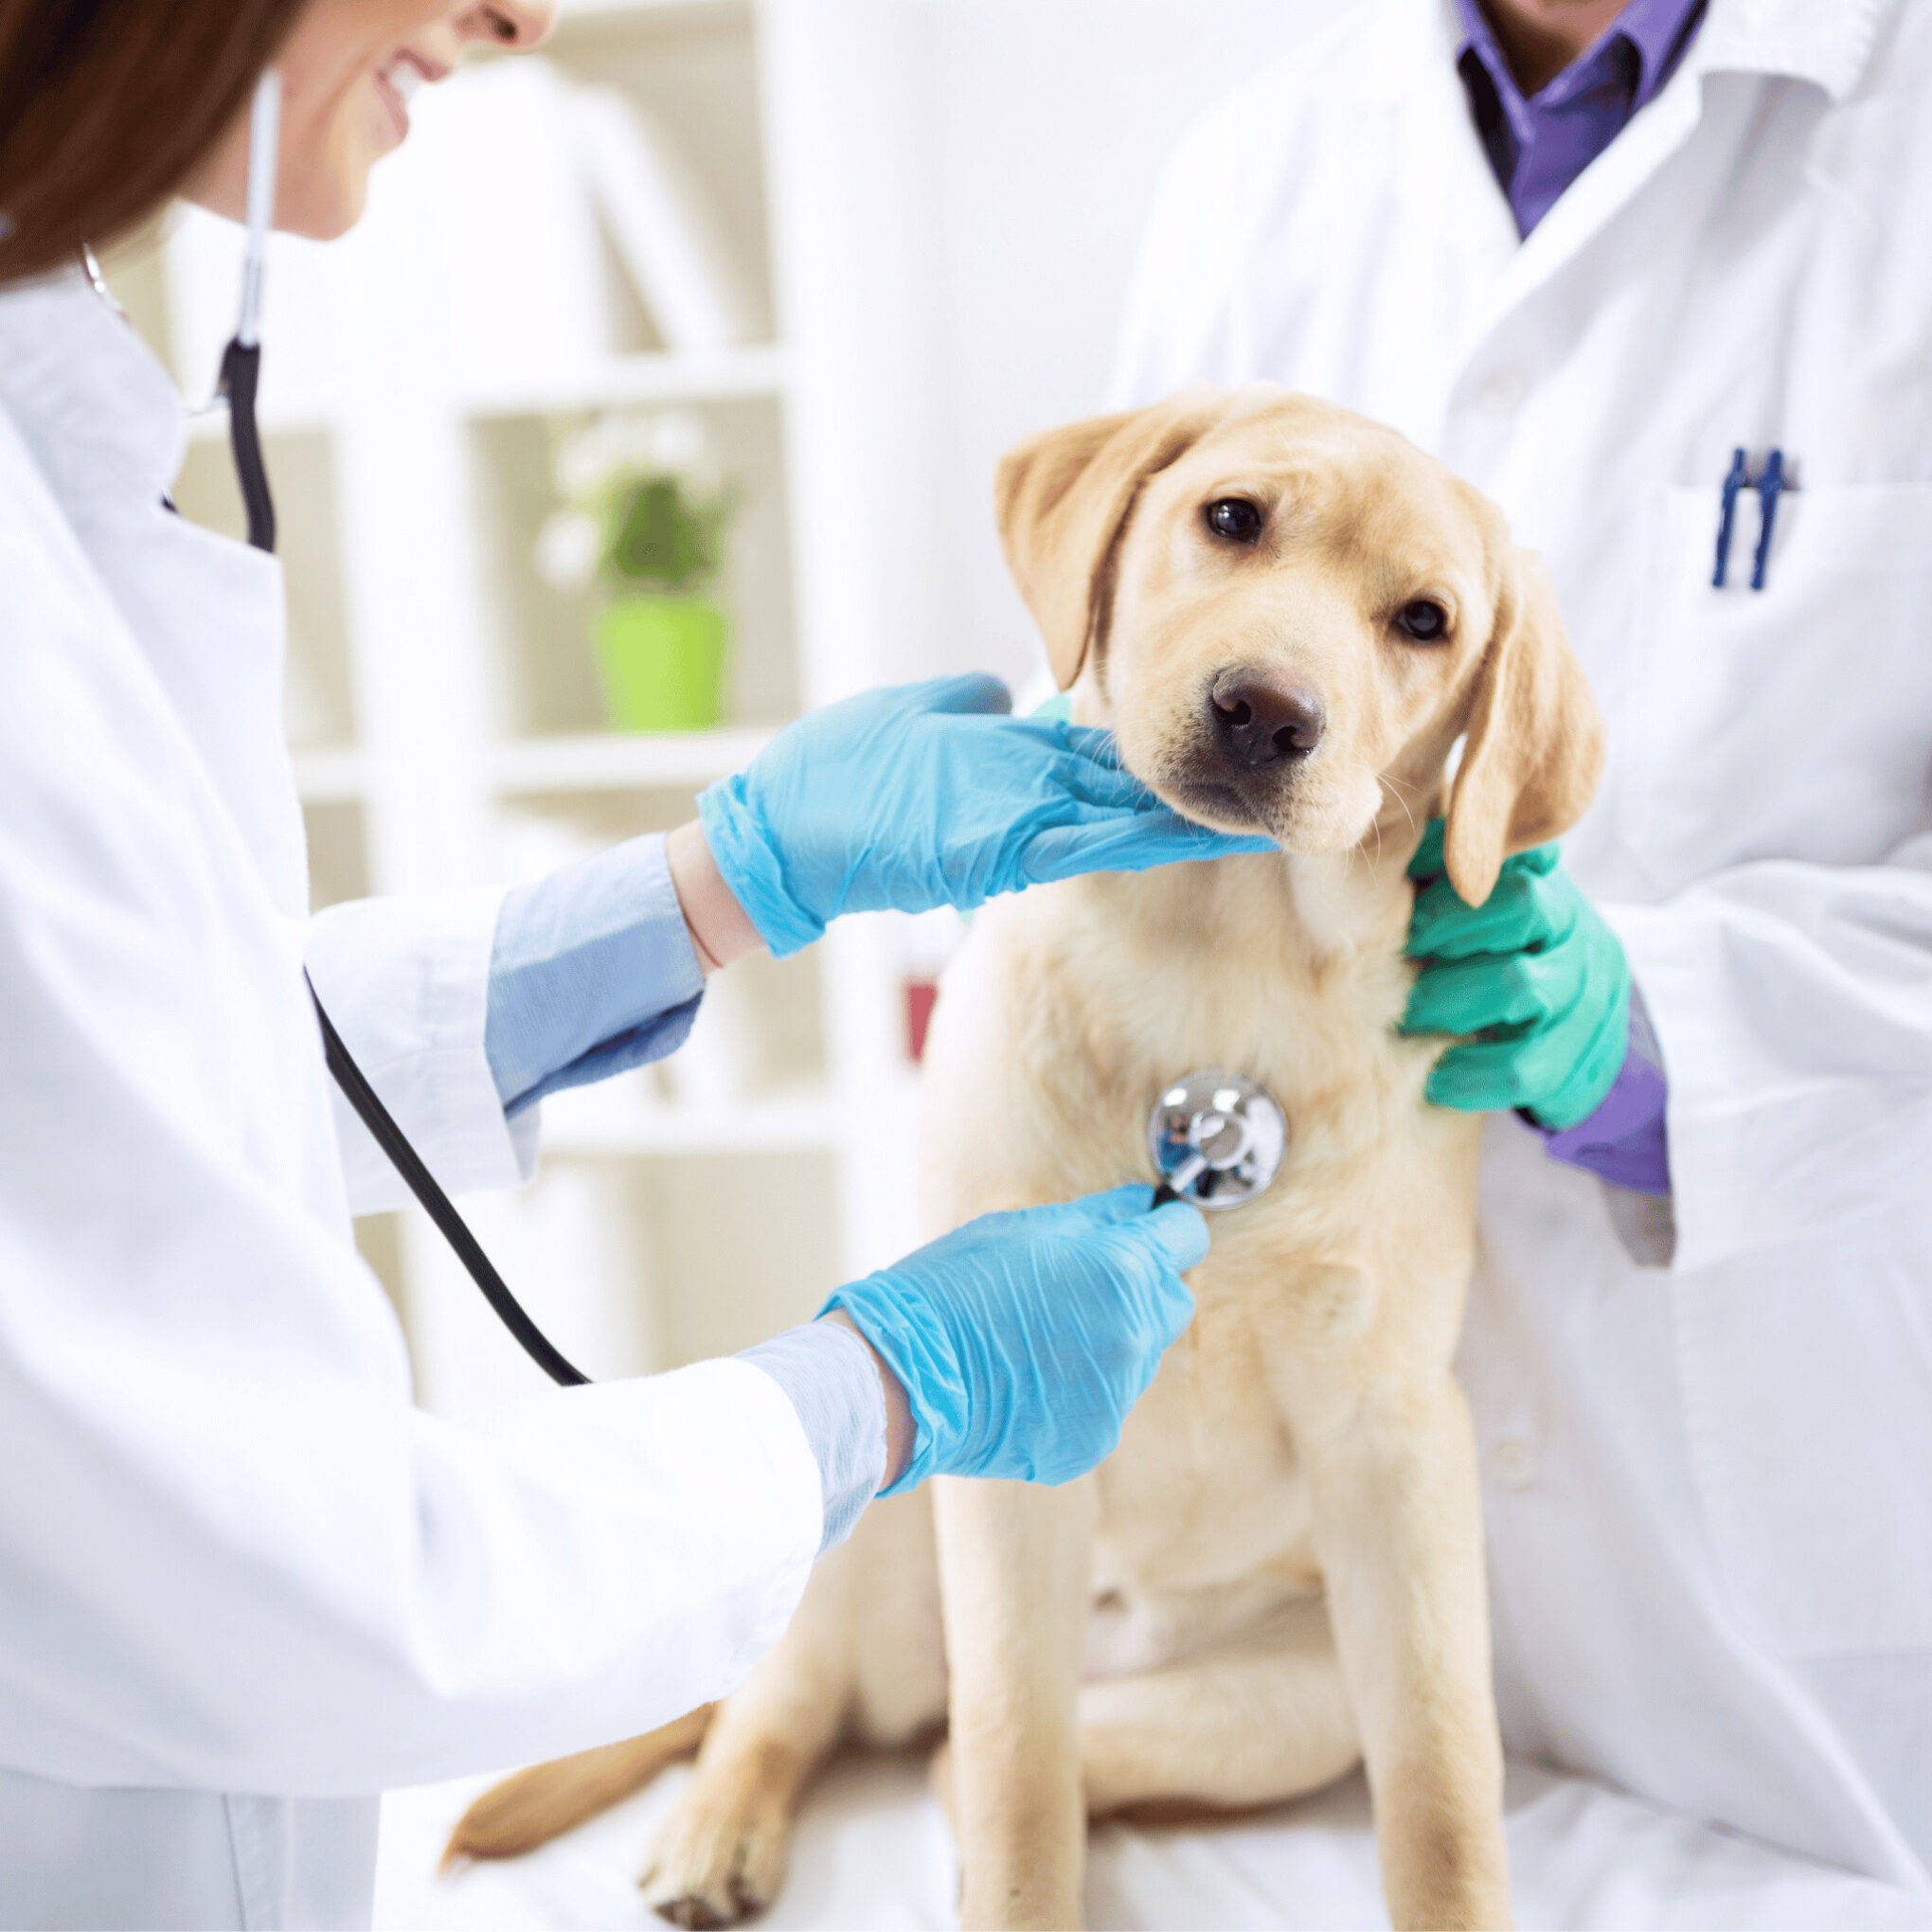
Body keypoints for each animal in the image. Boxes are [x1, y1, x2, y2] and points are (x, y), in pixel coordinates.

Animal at [442, 388, 1600, 1932]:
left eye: (1424, 620)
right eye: (1231, 518)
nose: (1267, 711)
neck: (1222, 963)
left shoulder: (1398, 1451)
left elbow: (1444, 1802)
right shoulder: (1001, 1471)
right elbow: (1014, 1776)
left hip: (1286, 1702)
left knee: (959, 1761)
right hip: (881, 1518)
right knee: (814, 1708)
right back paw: (719, 1829)